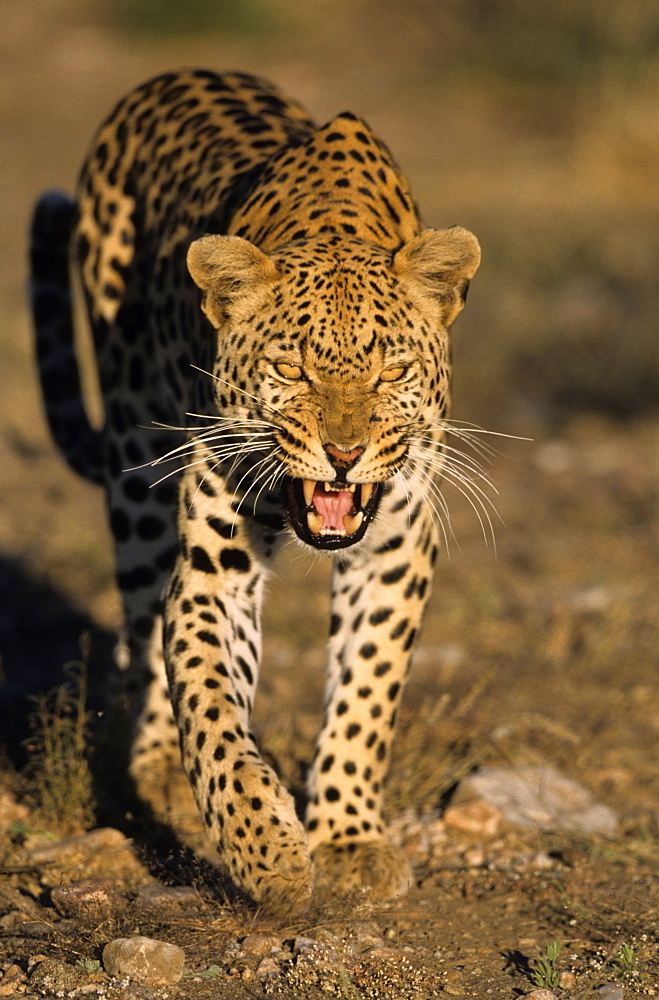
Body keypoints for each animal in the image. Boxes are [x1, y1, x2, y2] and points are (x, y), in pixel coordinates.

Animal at [29, 68, 480, 916]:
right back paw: (160, 770)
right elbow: (208, 699)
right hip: (137, 466)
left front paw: (347, 840)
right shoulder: (215, 568)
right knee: (143, 633)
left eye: (390, 371)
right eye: (291, 368)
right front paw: (267, 853)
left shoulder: (397, 541)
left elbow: (368, 686)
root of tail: (171, 75)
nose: (344, 453)